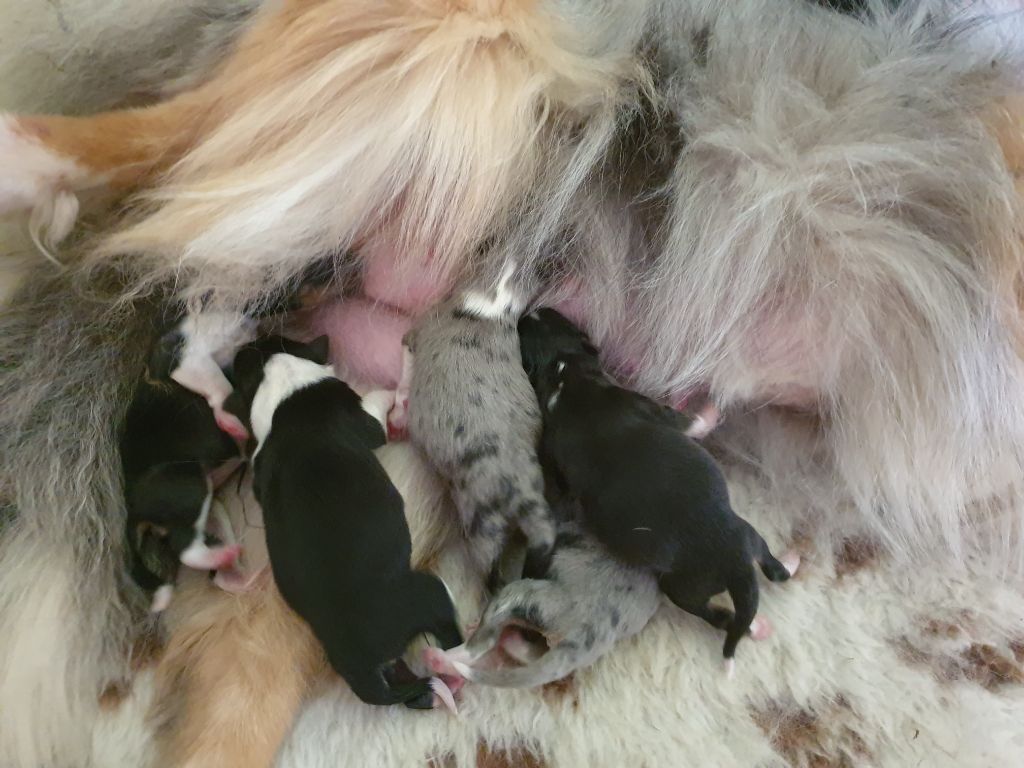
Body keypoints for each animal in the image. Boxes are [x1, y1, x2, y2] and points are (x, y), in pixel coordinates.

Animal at [223, 333, 462, 709]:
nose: (245, 342)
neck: (285, 382)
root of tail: (356, 664)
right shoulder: (367, 419)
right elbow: (381, 398)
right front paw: (398, 385)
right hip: (429, 592)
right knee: (452, 641)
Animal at [518, 309, 799, 667]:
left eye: (550, 318)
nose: (528, 311)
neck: (564, 374)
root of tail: (735, 565)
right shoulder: (647, 407)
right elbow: (690, 423)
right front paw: (710, 410)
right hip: (691, 581)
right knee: (728, 614)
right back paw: (763, 615)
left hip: (738, 542)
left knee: (764, 577)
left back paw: (786, 567)